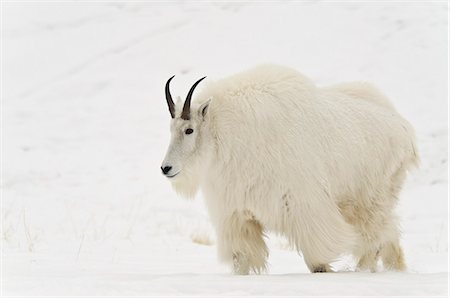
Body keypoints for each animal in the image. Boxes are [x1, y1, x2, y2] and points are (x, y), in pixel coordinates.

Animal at [159, 65, 418, 274]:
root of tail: (404, 129)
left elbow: (318, 256)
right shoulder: (237, 213)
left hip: (372, 197)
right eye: (171, 128)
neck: (226, 135)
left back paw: (367, 269)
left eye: (189, 130)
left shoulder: (304, 204)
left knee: (376, 234)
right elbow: (242, 257)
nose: (166, 168)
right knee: (387, 233)